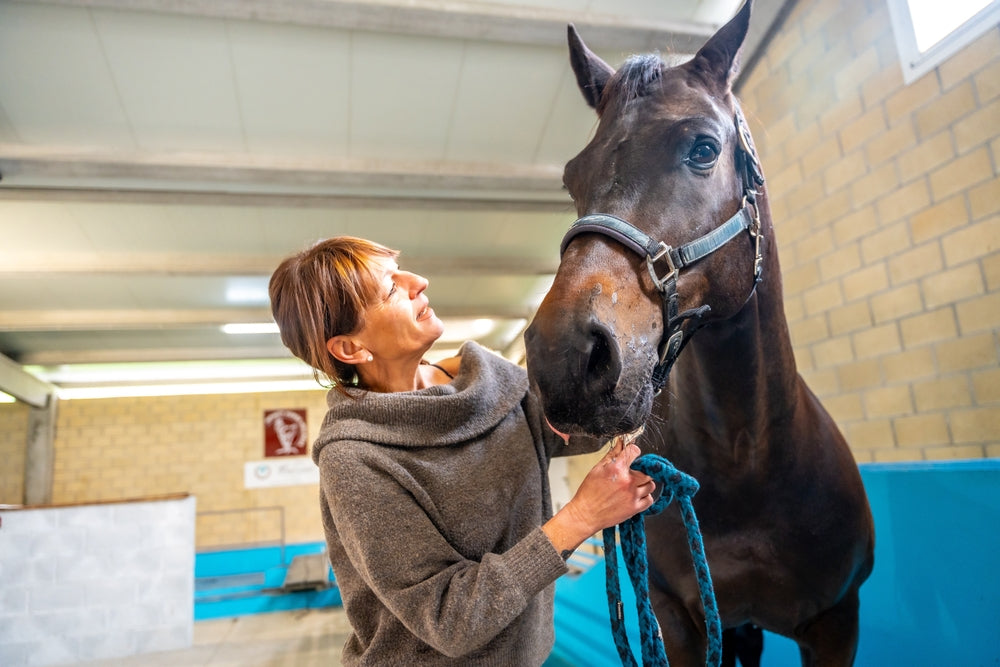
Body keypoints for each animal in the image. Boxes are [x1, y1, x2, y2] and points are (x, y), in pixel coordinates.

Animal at [523, 1, 875, 665]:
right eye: (572, 177)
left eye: (705, 149)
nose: (565, 355)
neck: (749, 462)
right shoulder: (678, 620)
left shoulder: (837, 621)